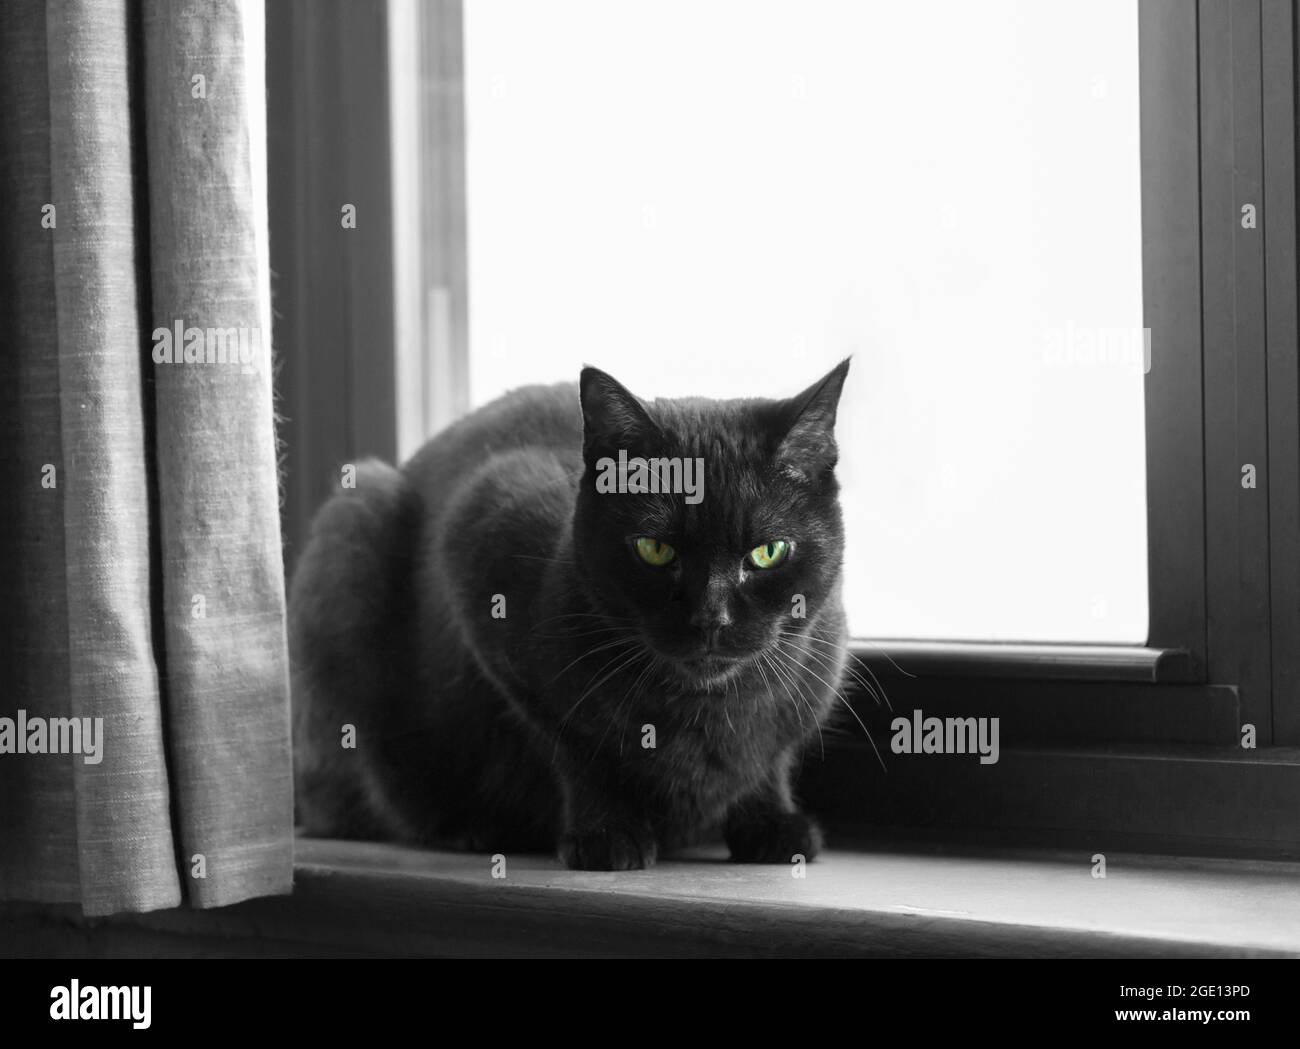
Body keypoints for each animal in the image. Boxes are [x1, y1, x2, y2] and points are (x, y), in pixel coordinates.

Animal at [287, 361, 852, 868]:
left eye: (768, 552)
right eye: (654, 549)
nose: (711, 618)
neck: (704, 708)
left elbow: (771, 761)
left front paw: (773, 825)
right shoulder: (483, 536)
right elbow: (576, 748)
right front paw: (607, 835)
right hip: (354, 521)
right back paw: (468, 825)